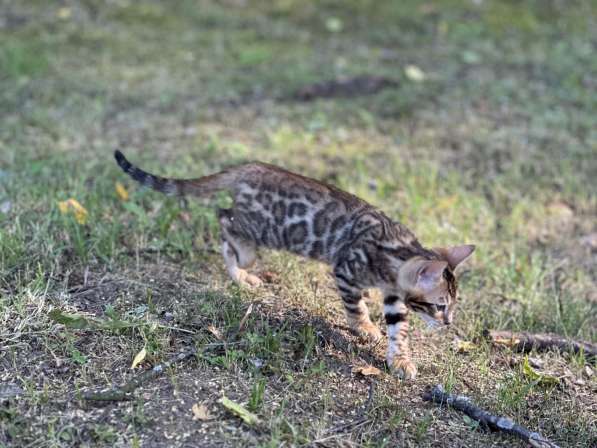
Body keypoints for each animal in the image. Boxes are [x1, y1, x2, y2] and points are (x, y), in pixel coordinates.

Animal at [114, 150, 472, 378]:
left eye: (453, 305)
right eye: (440, 305)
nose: (449, 323)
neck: (396, 254)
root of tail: (249, 167)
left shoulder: (395, 295)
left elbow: (399, 329)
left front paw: (400, 360)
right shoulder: (345, 270)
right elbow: (356, 308)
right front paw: (367, 328)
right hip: (260, 228)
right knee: (224, 219)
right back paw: (240, 270)